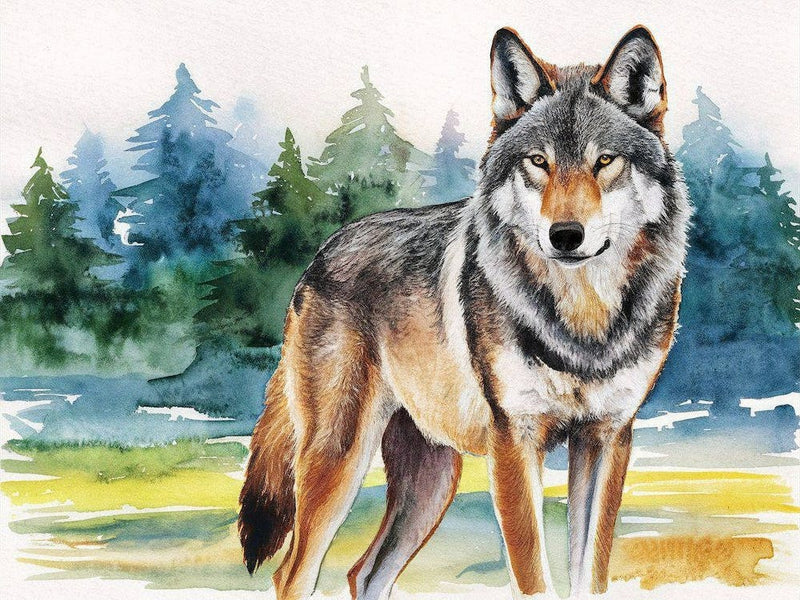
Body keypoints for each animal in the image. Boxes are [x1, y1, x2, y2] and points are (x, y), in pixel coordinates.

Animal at [239, 25, 689, 600]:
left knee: (363, 572)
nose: (565, 235)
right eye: (538, 161)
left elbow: (589, 575)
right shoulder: (514, 444)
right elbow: (535, 576)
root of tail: (319, 257)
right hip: (339, 463)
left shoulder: (607, 439)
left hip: (431, 484)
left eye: (604, 161)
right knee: (292, 573)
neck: (580, 322)